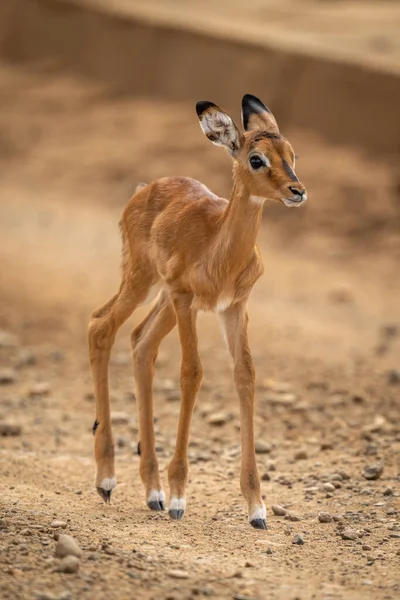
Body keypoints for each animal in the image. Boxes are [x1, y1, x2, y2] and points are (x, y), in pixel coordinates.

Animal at [88, 91, 306, 528]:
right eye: (256, 158)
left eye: (292, 153)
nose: (297, 190)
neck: (219, 249)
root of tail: (144, 190)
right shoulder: (188, 302)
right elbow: (192, 373)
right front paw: (178, 498)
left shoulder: (233, 309)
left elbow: (245, 376)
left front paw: (257, 508)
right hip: (144, 283)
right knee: (102, 328)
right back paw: (109, 482)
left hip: (163, 301)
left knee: (141, 343)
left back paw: (151, 491)